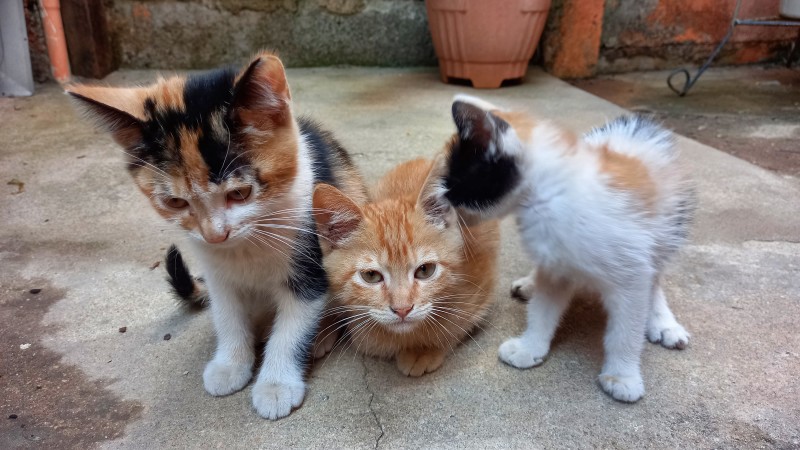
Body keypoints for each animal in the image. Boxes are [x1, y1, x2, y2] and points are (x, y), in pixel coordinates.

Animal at [67, 53, 368, 422]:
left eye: (239, 193)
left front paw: (276, 384)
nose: (215, 234)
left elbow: (292, 327)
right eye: (176, 202)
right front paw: (230, 364)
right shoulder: (215, 271)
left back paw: (322, 335)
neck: (247, 244)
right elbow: (226, 314)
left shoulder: (311, 260)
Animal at [312, 158, 500, 376]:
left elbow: (457, 325)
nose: (402, 310)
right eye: (371, 275)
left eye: (425, 270)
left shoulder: (483, 284)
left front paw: (424, 349)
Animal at [440, 94, 696, 400]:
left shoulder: (631, 274)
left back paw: (662, 321)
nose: (443, 203)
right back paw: (530, 283)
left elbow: (625, 329)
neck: (546, 200)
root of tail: (641, 126)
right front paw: (530, 347)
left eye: (454, 184)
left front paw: (623, 375)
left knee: (655, 278)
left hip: (668, 230)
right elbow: (543, 309)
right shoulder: (555, 264)